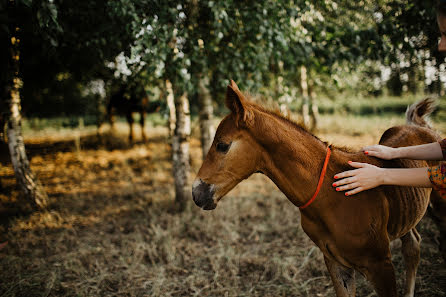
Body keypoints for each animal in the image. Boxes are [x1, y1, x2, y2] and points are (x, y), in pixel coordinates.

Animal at [193, 79, 446, 296]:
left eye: (222, 145)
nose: (197, 193)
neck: (331, 193)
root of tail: (421, 126)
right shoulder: (335, 262)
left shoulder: (380, 263)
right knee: (413, 244)